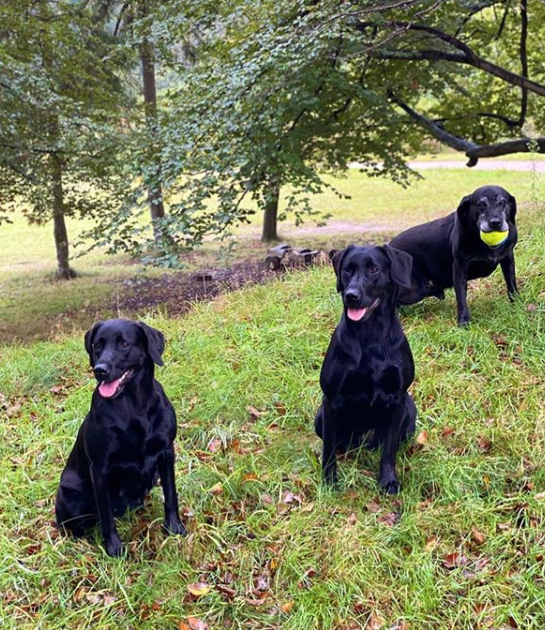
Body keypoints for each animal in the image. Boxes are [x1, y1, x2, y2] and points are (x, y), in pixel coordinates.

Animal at [55, 320, 186, 556]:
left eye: (124, 344)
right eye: (97, 345)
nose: (100, 370)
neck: (134, 406)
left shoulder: (166, 452)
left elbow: (171, 495)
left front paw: (173, 526)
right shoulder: (99, 469)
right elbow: (106, 516)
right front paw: (114, 548)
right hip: (70, 494)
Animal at [314, 244, 416, 496]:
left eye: (373, 269)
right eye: (347, 270)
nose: (351, 295)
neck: (371, 335)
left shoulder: (399, 398)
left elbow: (389, 449)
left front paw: (388, 480)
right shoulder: (330, 400)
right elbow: (328, 450)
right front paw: (329, 480)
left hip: (410, 409)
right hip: (320, 416)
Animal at [388, 184, 516, 326]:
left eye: (502, 202)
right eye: (481, 204)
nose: (495, 223)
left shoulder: (508, 258)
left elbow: (512, 285)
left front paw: (517, 305)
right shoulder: (459, 267)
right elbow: (461, 298)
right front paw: (463, 322)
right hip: (413, 290)